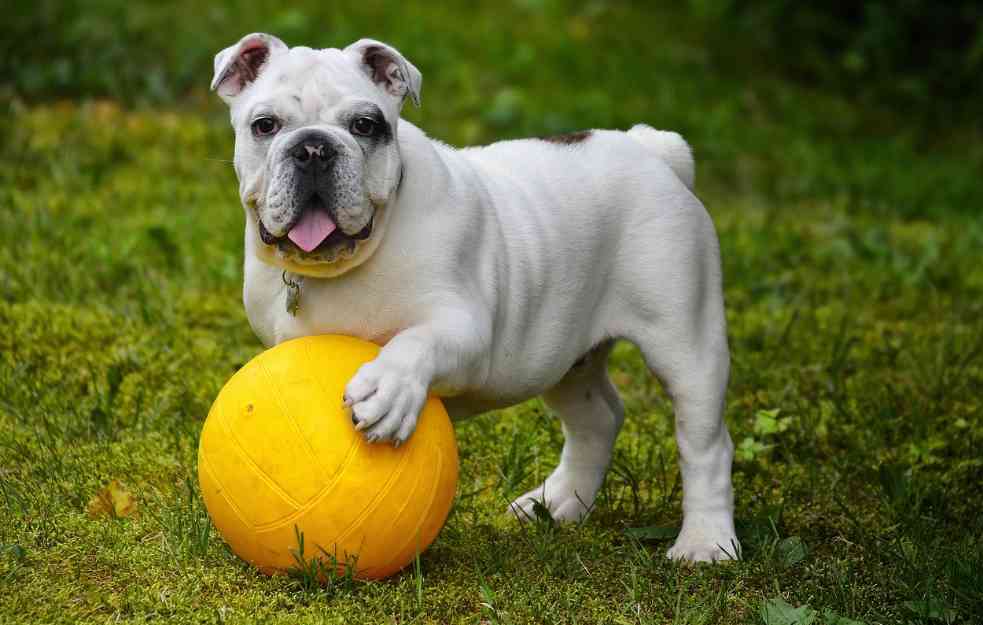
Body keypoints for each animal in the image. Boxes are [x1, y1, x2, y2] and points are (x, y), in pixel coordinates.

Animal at [213, 33, 736, 560]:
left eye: (364, 125)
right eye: (265, 125)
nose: (314, 148)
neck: (346, 264)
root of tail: (650, 147)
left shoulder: (465, 330)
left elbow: (415, 342)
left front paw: (389, 389)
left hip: (685, 342)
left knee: (706, 444)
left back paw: (706, 542)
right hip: (564, 355)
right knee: (597, 419)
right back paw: (558, 503)